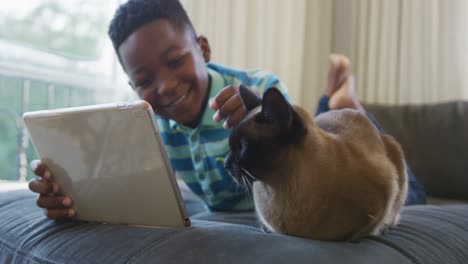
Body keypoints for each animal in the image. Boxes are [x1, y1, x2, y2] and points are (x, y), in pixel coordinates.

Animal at [225, 85, 408, 241]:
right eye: (231, 144)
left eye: (243, 145)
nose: (226, 163)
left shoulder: (385, 191)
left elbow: (361, 231)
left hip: (397, 155)